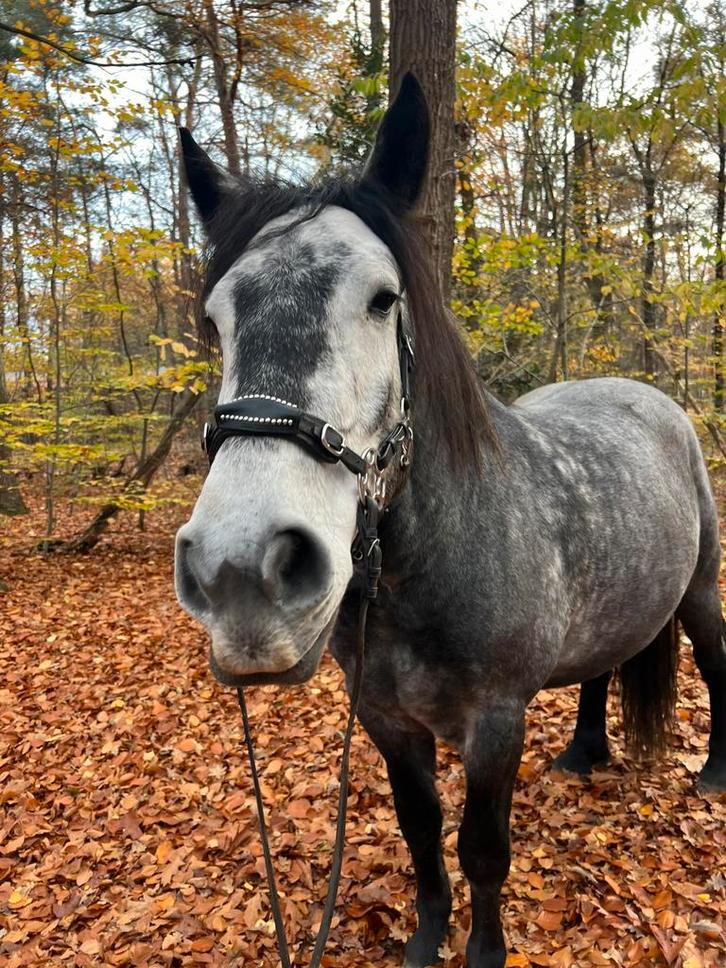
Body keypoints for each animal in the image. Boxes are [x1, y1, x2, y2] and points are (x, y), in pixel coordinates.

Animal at [174, 74, 726, 968]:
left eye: (382, 300)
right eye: (214, 320)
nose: (242, 571)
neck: (429, 567)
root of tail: (651, 397)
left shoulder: (493, 723)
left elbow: (482, 849)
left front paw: (483, 950)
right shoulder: (388, 720)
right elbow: (421, 829)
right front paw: (427, 935)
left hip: (700, 591)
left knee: (714, 661)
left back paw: (712, 774)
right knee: (600, 667)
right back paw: (583, 754)